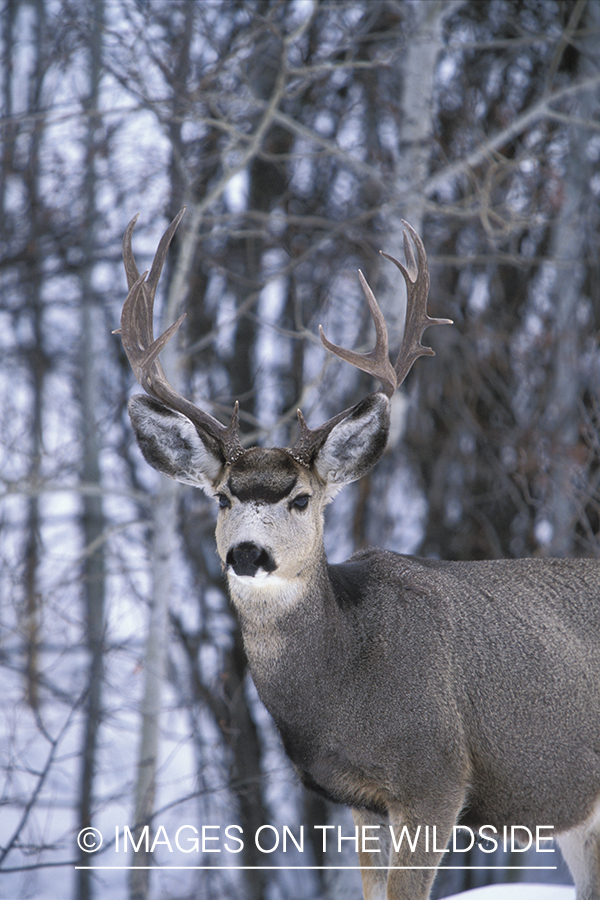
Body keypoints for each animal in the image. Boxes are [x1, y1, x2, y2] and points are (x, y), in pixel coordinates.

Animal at [117, 208, 600, 900]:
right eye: (221, 497)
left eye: (300, 498)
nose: (247, 553)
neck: (344, 684)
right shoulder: (360, 800)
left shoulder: (435, 777)